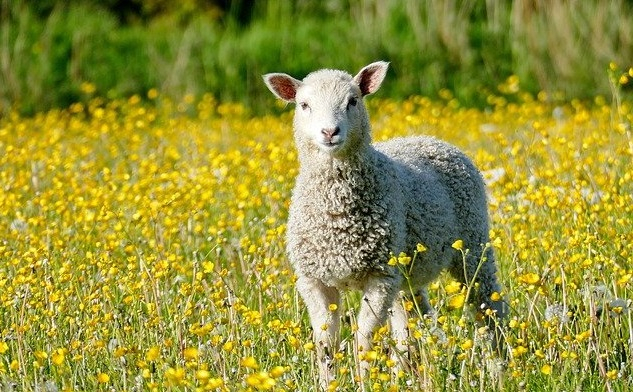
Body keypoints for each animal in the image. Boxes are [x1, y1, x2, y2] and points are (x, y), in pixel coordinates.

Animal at [262, 62, 504, 388]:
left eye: (353, 101)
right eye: (304, 105)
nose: (329, 132)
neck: (337, 214)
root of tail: (431, 139)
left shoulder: (379, 277)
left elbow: (364, 339)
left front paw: (364, 381)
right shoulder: (314, 280)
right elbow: (326, 342)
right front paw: (329, 383)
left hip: (473, 244)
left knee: (488, 307)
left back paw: (500, 368)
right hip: (407, 272)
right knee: (413, 322)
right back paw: (413, 376)